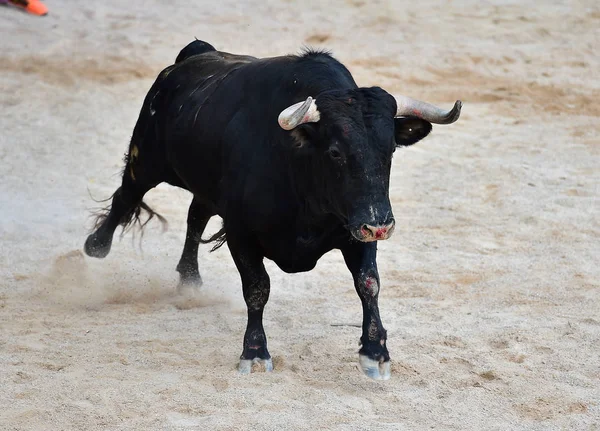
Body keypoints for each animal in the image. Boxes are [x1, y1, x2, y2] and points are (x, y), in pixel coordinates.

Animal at [84, 38, 462, 380]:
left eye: (391, 150)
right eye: (335, 151)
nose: (380, 225)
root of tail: (195, 53)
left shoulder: (355, 230)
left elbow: (368, 283)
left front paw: (375, 354)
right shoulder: (241, 233)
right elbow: (257, 289)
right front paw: (254, 353)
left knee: (196, 215)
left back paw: (189, 280)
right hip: (145, 158)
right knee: (126, 197)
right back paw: (96, 245)